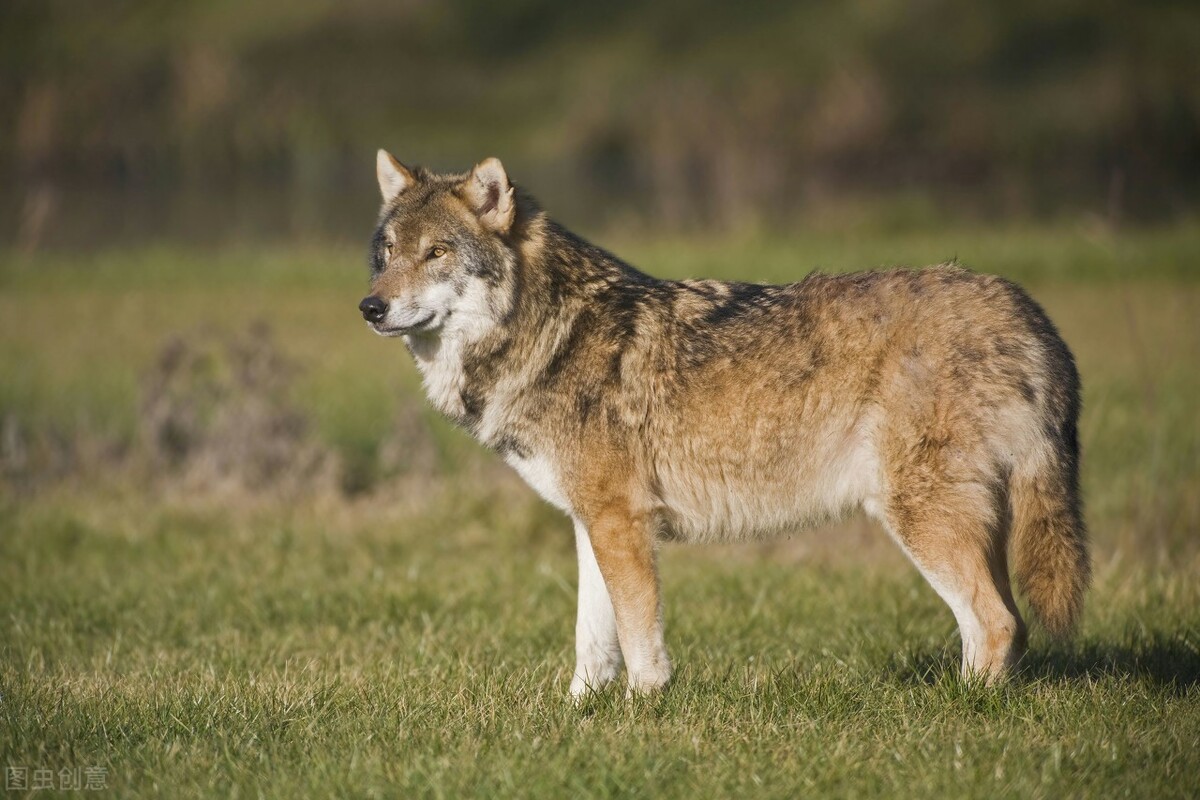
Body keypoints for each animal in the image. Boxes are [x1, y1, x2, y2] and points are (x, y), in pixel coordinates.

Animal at [355, 148, 1089, 695]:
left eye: (436, 254)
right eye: (386, 253)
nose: (370, 307)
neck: (552, 334)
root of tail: (1025, 308)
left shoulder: (621, 523)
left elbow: (639, 642)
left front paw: (642, 712)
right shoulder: (593, 523)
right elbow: (593, 643)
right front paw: (577, 714)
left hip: (920, 518)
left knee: (996, 624)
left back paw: (962, 711)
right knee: (1002, 623)